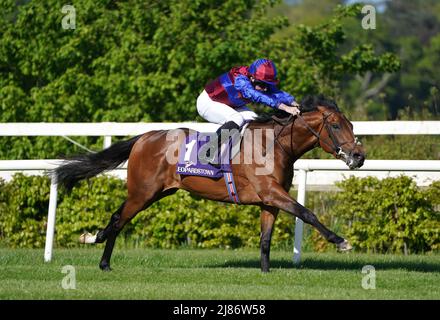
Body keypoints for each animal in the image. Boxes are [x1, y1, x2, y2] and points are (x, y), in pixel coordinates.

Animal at [54, 95, 364, 272]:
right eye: (336, 126)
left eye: (351, 125)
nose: (359, 156)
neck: (274, 144)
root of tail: (144, 138)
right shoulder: (271, 192)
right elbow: (307, 213)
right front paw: (341, 241)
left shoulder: (270, 199)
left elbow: (265, 238)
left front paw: (266, 273)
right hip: (142, 193)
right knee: (119, 220)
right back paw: (104, 262)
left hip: (154, 193)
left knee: (117, 217)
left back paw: (94, 239)